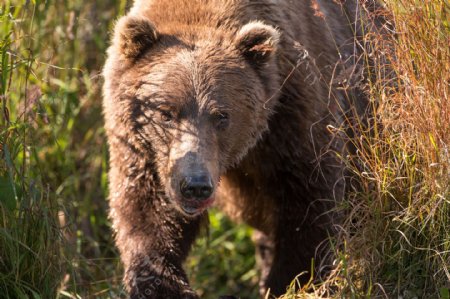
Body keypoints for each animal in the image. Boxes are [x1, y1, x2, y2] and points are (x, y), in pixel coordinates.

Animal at [103, 1, 368, 298]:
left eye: (221, 115)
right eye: (166, 113)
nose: (195, 185)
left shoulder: (293, 116)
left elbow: (310, 204)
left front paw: (289, 282)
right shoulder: (143, 149)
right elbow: (147, 209)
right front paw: (165, 285)